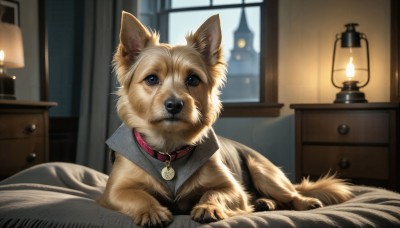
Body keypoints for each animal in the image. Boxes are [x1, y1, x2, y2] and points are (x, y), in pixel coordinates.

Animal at [97, 11, 354, 227]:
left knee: (292, 194)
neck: (169, 150)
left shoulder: (233, 188)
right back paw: (265, 203)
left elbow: (215, 192)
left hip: (262, 170)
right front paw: (151, 210)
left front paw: (208, 206)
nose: (174, 104)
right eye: (151, 79)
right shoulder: (114, 190)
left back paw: (301, 202)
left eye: (192, 79)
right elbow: (137, 194)